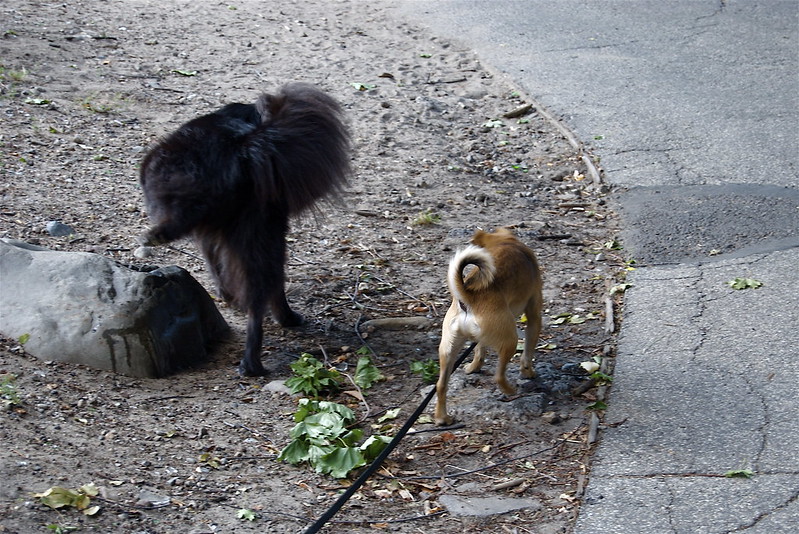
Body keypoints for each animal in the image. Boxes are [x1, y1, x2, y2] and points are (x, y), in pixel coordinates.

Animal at [438, 229, 544, 428]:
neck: (504, 242)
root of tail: (469, 298)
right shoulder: (534, 316)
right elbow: (527, 353)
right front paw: (528, 372)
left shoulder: (480, 340)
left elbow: (479, 351)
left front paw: (474, 367)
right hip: (510, 339)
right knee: (498, 377)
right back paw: (510, 390)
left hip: (448, 350)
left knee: (441, 385)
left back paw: (442, 418)